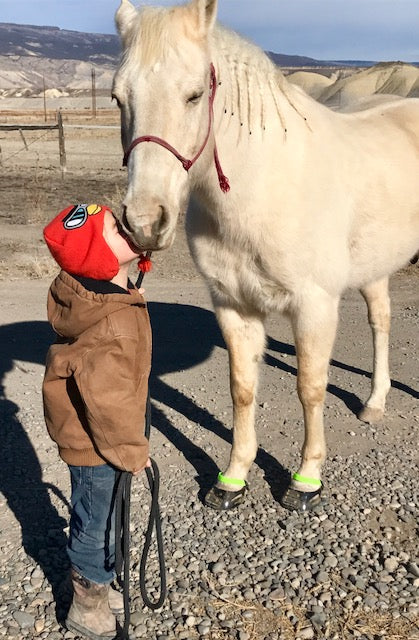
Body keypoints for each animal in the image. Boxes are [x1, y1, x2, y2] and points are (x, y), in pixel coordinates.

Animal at [112, 0, 419, 510]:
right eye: (118, 97)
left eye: (194, 95)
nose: (144, 222)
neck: (265, 185)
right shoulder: (234, 305)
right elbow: (242, 389)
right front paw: (233, 477)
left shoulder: (314, 306)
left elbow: (310, 388)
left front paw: (306, 479)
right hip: (373, 267)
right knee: (381, 320)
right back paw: (374, 404)